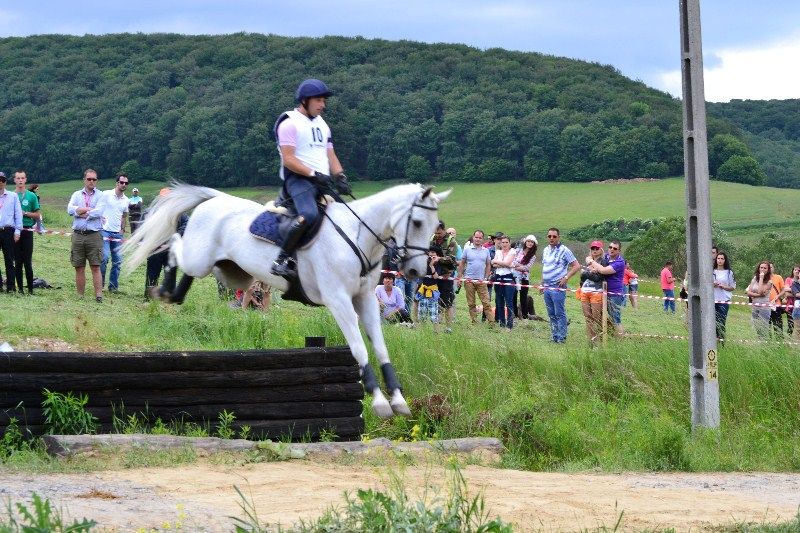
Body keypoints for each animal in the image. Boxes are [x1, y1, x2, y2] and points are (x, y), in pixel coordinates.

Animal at [123, 183, 450, 418]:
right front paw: (380, 402)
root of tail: (215, 198)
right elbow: (358, 348)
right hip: (200, 259)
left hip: (231, 273)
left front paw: (398, 399)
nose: (415, 271)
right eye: (417, 222)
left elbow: (380, 347)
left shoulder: (365, 299)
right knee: (174, 245)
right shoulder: (339, 300)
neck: (359, 237)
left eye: (434, 224)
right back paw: (162, 288)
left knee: (187, 271)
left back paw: (171, 294)